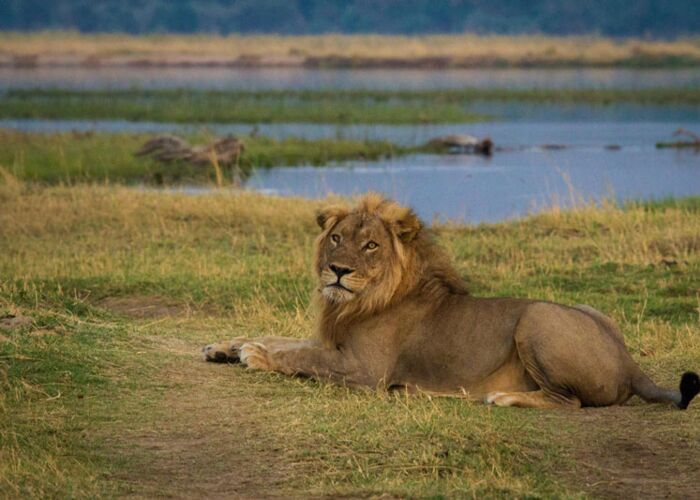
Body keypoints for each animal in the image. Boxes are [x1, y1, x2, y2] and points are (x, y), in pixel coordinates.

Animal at [203, 193, 699, 409]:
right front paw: (227, 346)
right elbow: (285, 340)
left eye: (371, 246)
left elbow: (301, 356)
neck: (352, 302)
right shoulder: (335, 343)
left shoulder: (365, 371)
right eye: (337, 238)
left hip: (537, 317)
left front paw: (255, 355)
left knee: (569, 402)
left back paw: (503, 397)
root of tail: (630, 363)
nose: (337, 270)